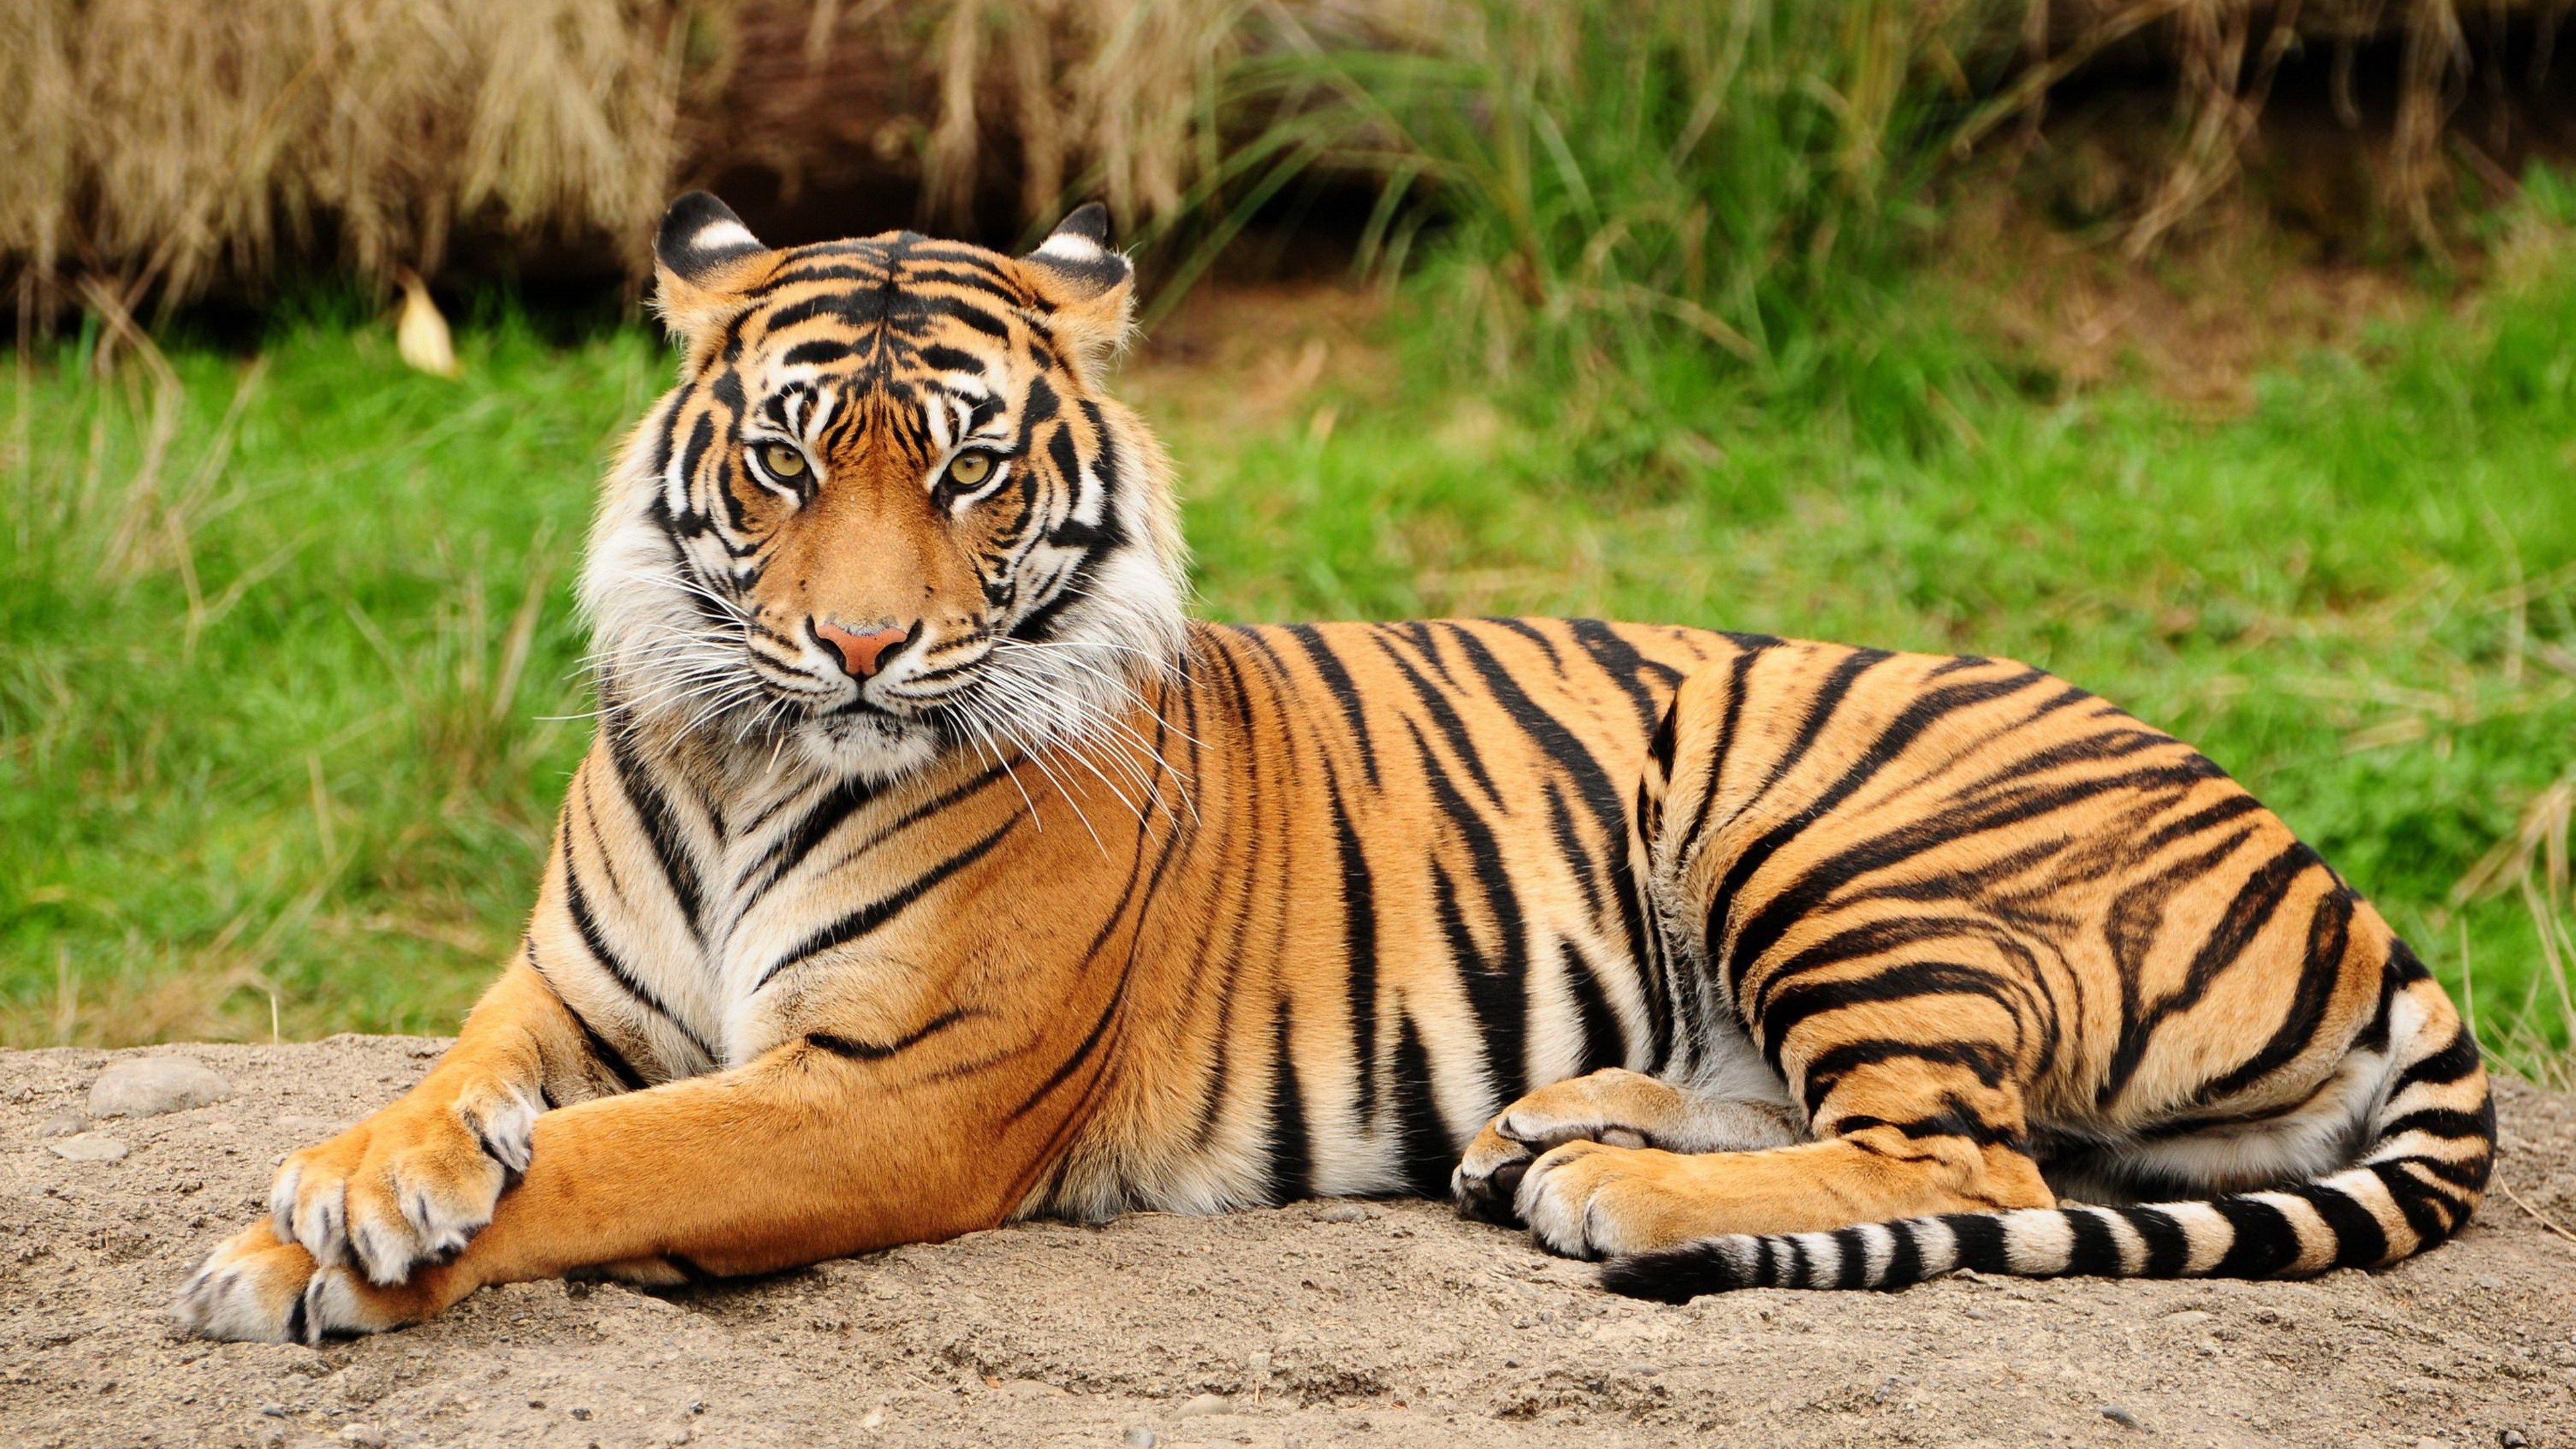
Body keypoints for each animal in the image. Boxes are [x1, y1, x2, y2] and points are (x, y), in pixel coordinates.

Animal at [174, 193, 2493, 1343]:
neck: (755, 757)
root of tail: (2334, 876)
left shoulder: (891, 1092)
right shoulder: (563, 996)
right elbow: (461, 1094)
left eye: (970, 473)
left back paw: (1615, 1188)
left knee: (1973, 1160)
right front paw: (354, 1186)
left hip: (1832, 830)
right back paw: (1551, 1127)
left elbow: (615, 1165)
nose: (860, 643)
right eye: (785, 461)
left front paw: (303, 1262)